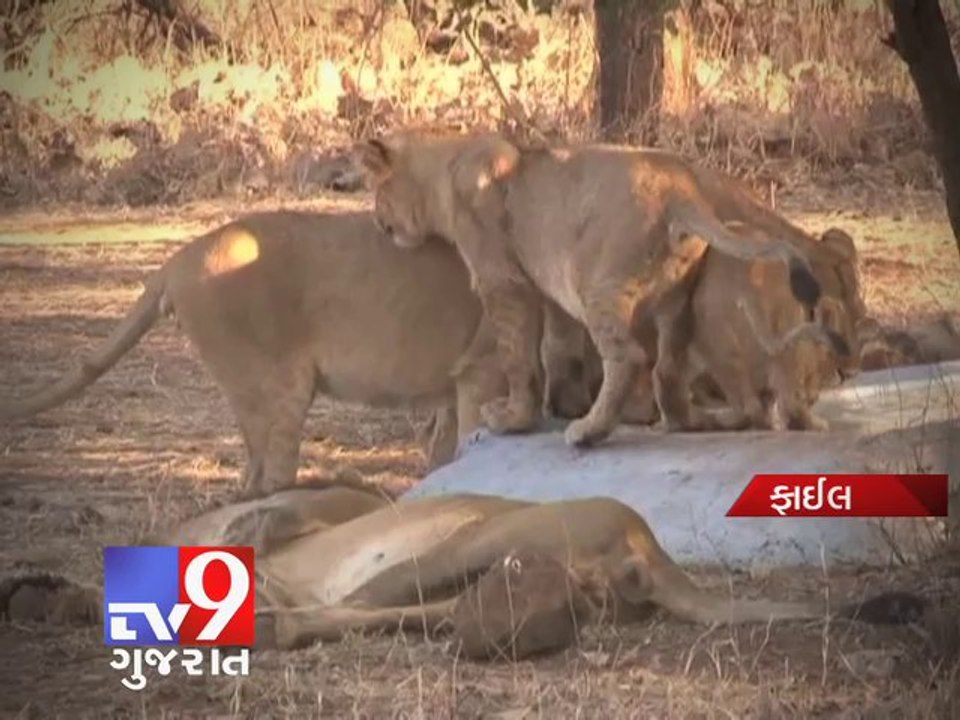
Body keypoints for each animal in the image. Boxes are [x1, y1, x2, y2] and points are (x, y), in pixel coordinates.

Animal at [356, 130, 826, 449]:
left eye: (377, 190)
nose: (378, 222)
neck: (449, 161)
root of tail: (681, 192)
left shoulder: (504, 282)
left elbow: (517, 358)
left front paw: (512, 419)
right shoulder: (552, 290)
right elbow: (556, 350)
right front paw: (559, 402)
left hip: (598, 286)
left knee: (629, 357)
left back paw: (588, 431)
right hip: (676, 298)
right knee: (667, 367)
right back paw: (684, 422)